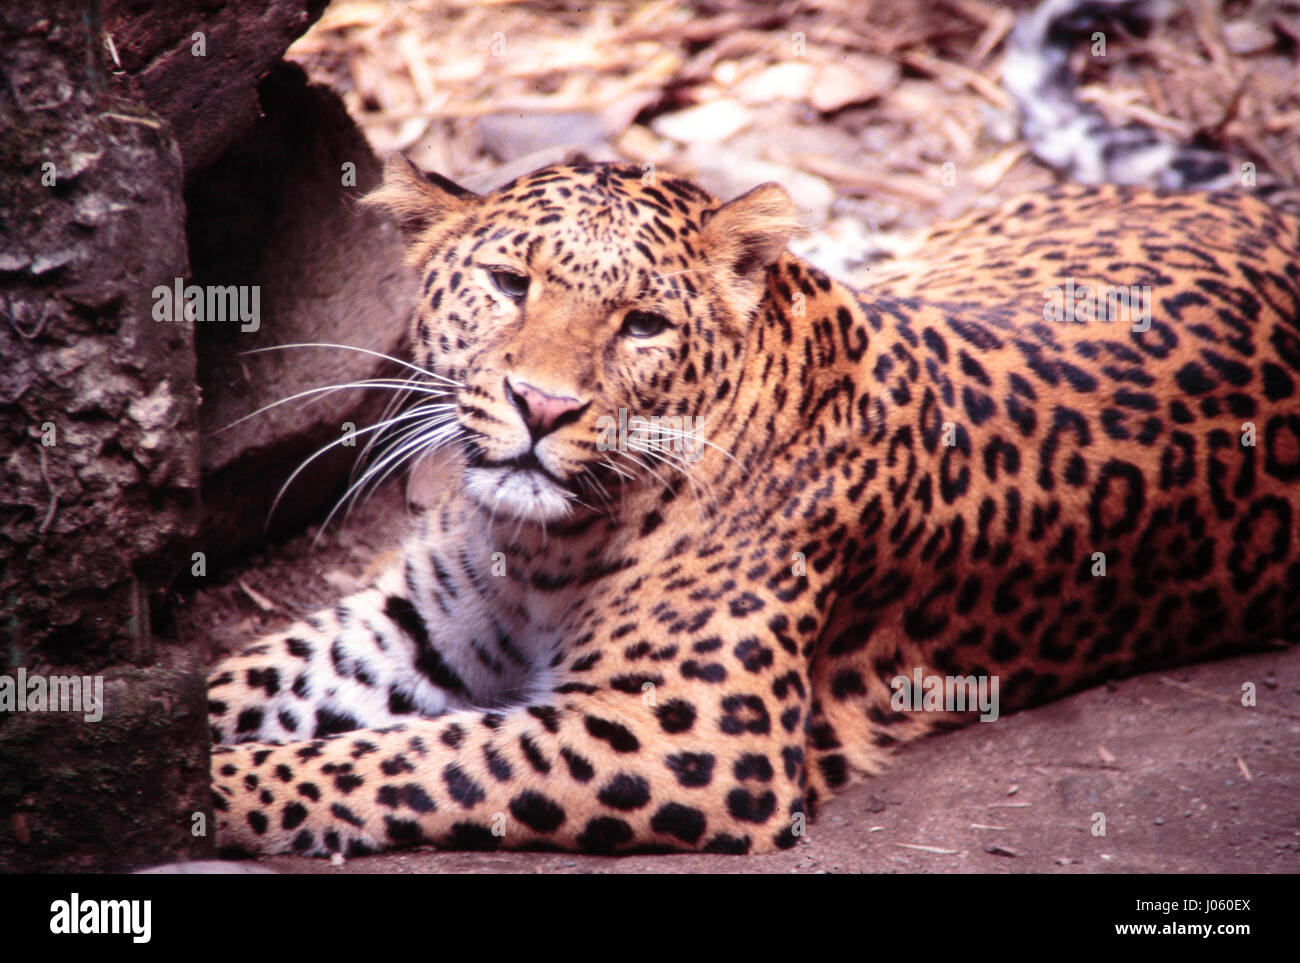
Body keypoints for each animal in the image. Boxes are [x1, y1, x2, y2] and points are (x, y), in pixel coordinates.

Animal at [206, 151, 1300, 858]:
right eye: (508, 283)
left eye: (643, 324)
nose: (542, 406)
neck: (538, 546)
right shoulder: (415, 624)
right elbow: (248, 681)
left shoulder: (687, 734)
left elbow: (406, 761)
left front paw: (213, 790)